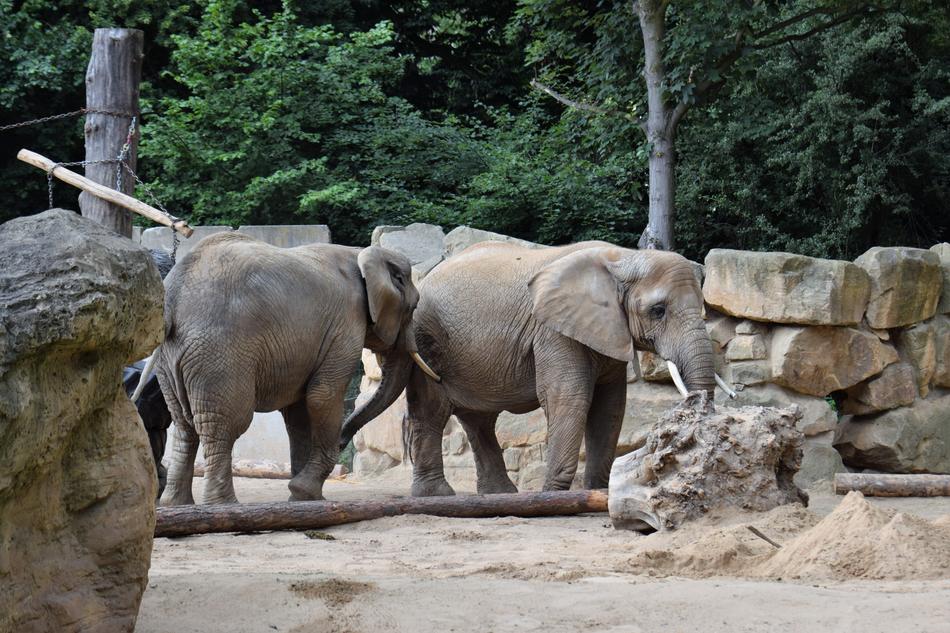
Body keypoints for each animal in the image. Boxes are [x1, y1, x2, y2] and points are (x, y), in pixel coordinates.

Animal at [153, 232, 429, 505]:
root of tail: (173, 300)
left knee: (183, 426)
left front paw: (302, 498)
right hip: (218, 354)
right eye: (414, 306)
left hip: (170, 359)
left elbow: (298, 412)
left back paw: (176, 503)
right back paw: (223, 505)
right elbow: (322, 397)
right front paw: (304, 492)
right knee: (226, 425)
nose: (342, 442)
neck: (361, 253)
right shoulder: (345, 323)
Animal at [340, 240, 720, 497]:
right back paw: (439, 496)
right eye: (658, 310)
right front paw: (553, 495)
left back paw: (500, 494)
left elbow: (610, 407)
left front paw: (597, 492)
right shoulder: (552, 330)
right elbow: (569, 398)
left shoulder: (607, 331)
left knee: (479, 421)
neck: (621, 258)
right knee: (432, 413)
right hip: (425, 339)